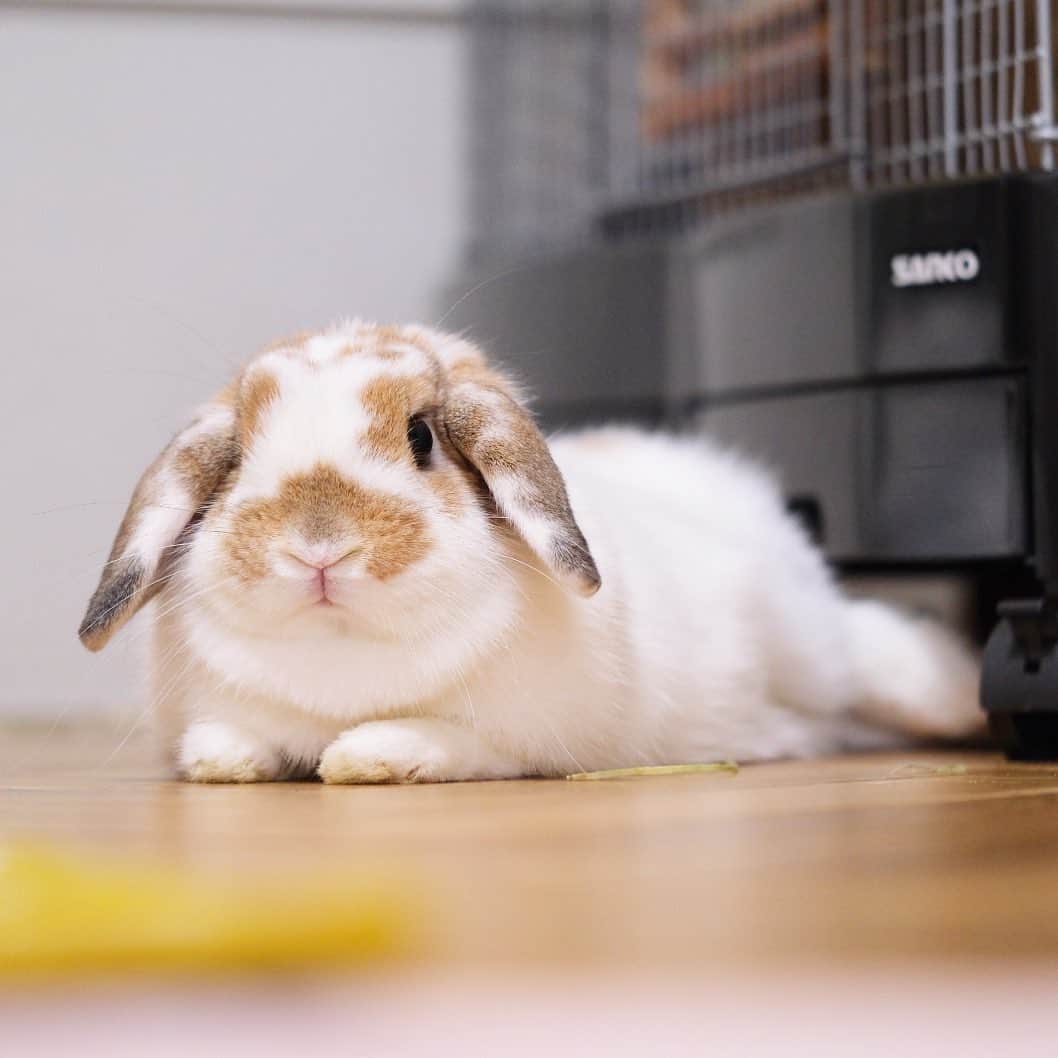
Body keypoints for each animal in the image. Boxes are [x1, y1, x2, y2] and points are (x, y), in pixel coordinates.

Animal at [79, 320, 984, 783]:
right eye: (239, 458)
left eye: (421, 437)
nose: (318, 548)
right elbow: (228, 739)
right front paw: (226, 759)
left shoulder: (520, 742)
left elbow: (439, 738)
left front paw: (366, 756)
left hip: (818, 642)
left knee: (878, 650)